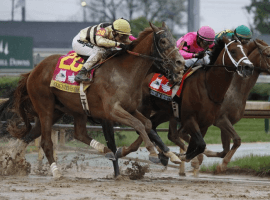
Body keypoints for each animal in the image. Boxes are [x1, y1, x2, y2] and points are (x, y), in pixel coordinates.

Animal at [8, 22, 186, 180]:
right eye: (163, 41)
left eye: (174, 39)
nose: (181, 63)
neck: (125, 72)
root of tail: (33, 70)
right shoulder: (112, 111)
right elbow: (138, 125)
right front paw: (153, 153)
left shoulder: (130, 109)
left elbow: (147, 124)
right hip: (45, 107)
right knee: (46, 142)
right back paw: (56, 172)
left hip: (66, 110)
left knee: (64, 134)